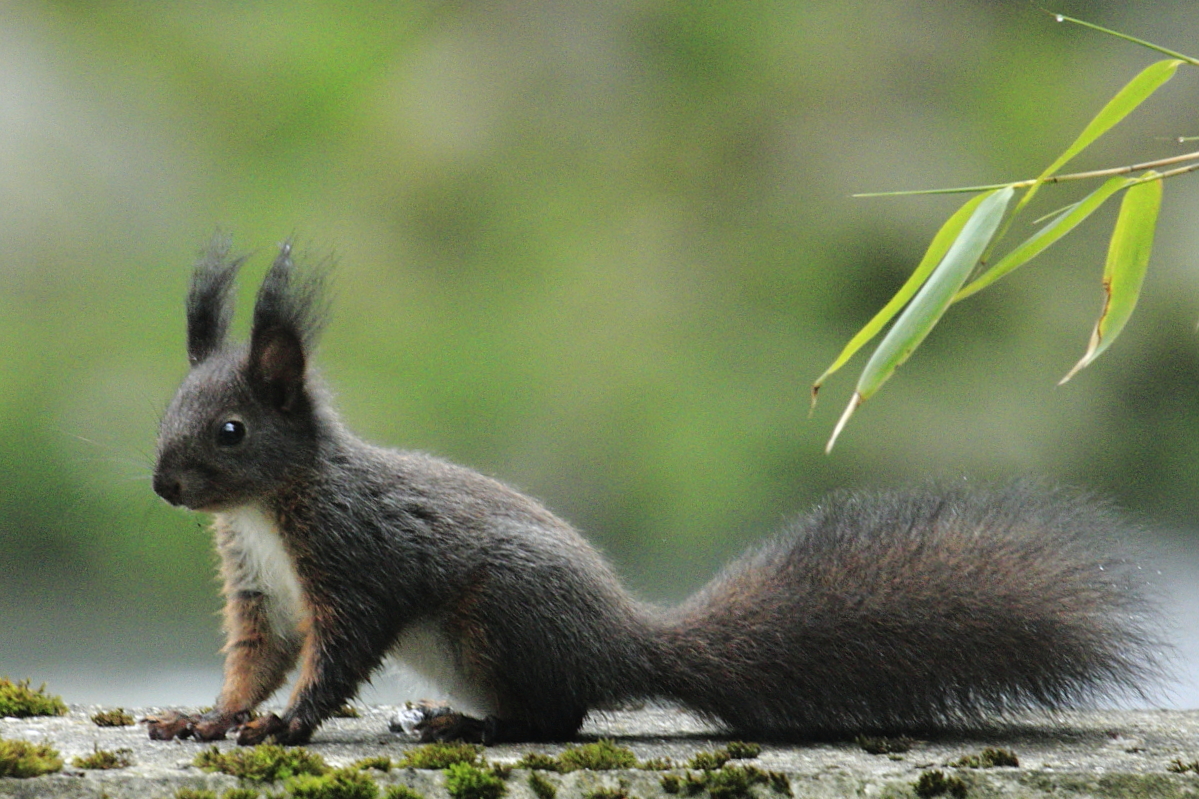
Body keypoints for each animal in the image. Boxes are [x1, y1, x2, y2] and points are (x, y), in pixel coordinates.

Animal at [145, 236, 1155, 748]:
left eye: (230, 431)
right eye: (168, 410)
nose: (163, 485)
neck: (267, 509)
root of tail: (622, 640)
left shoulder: (355, 561)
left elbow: (334, 660)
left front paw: (282, 728)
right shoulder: (261, 589)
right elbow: (259, 658)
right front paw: (209, 714)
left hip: (499, 615)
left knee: (561, 717)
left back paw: (473, 728)